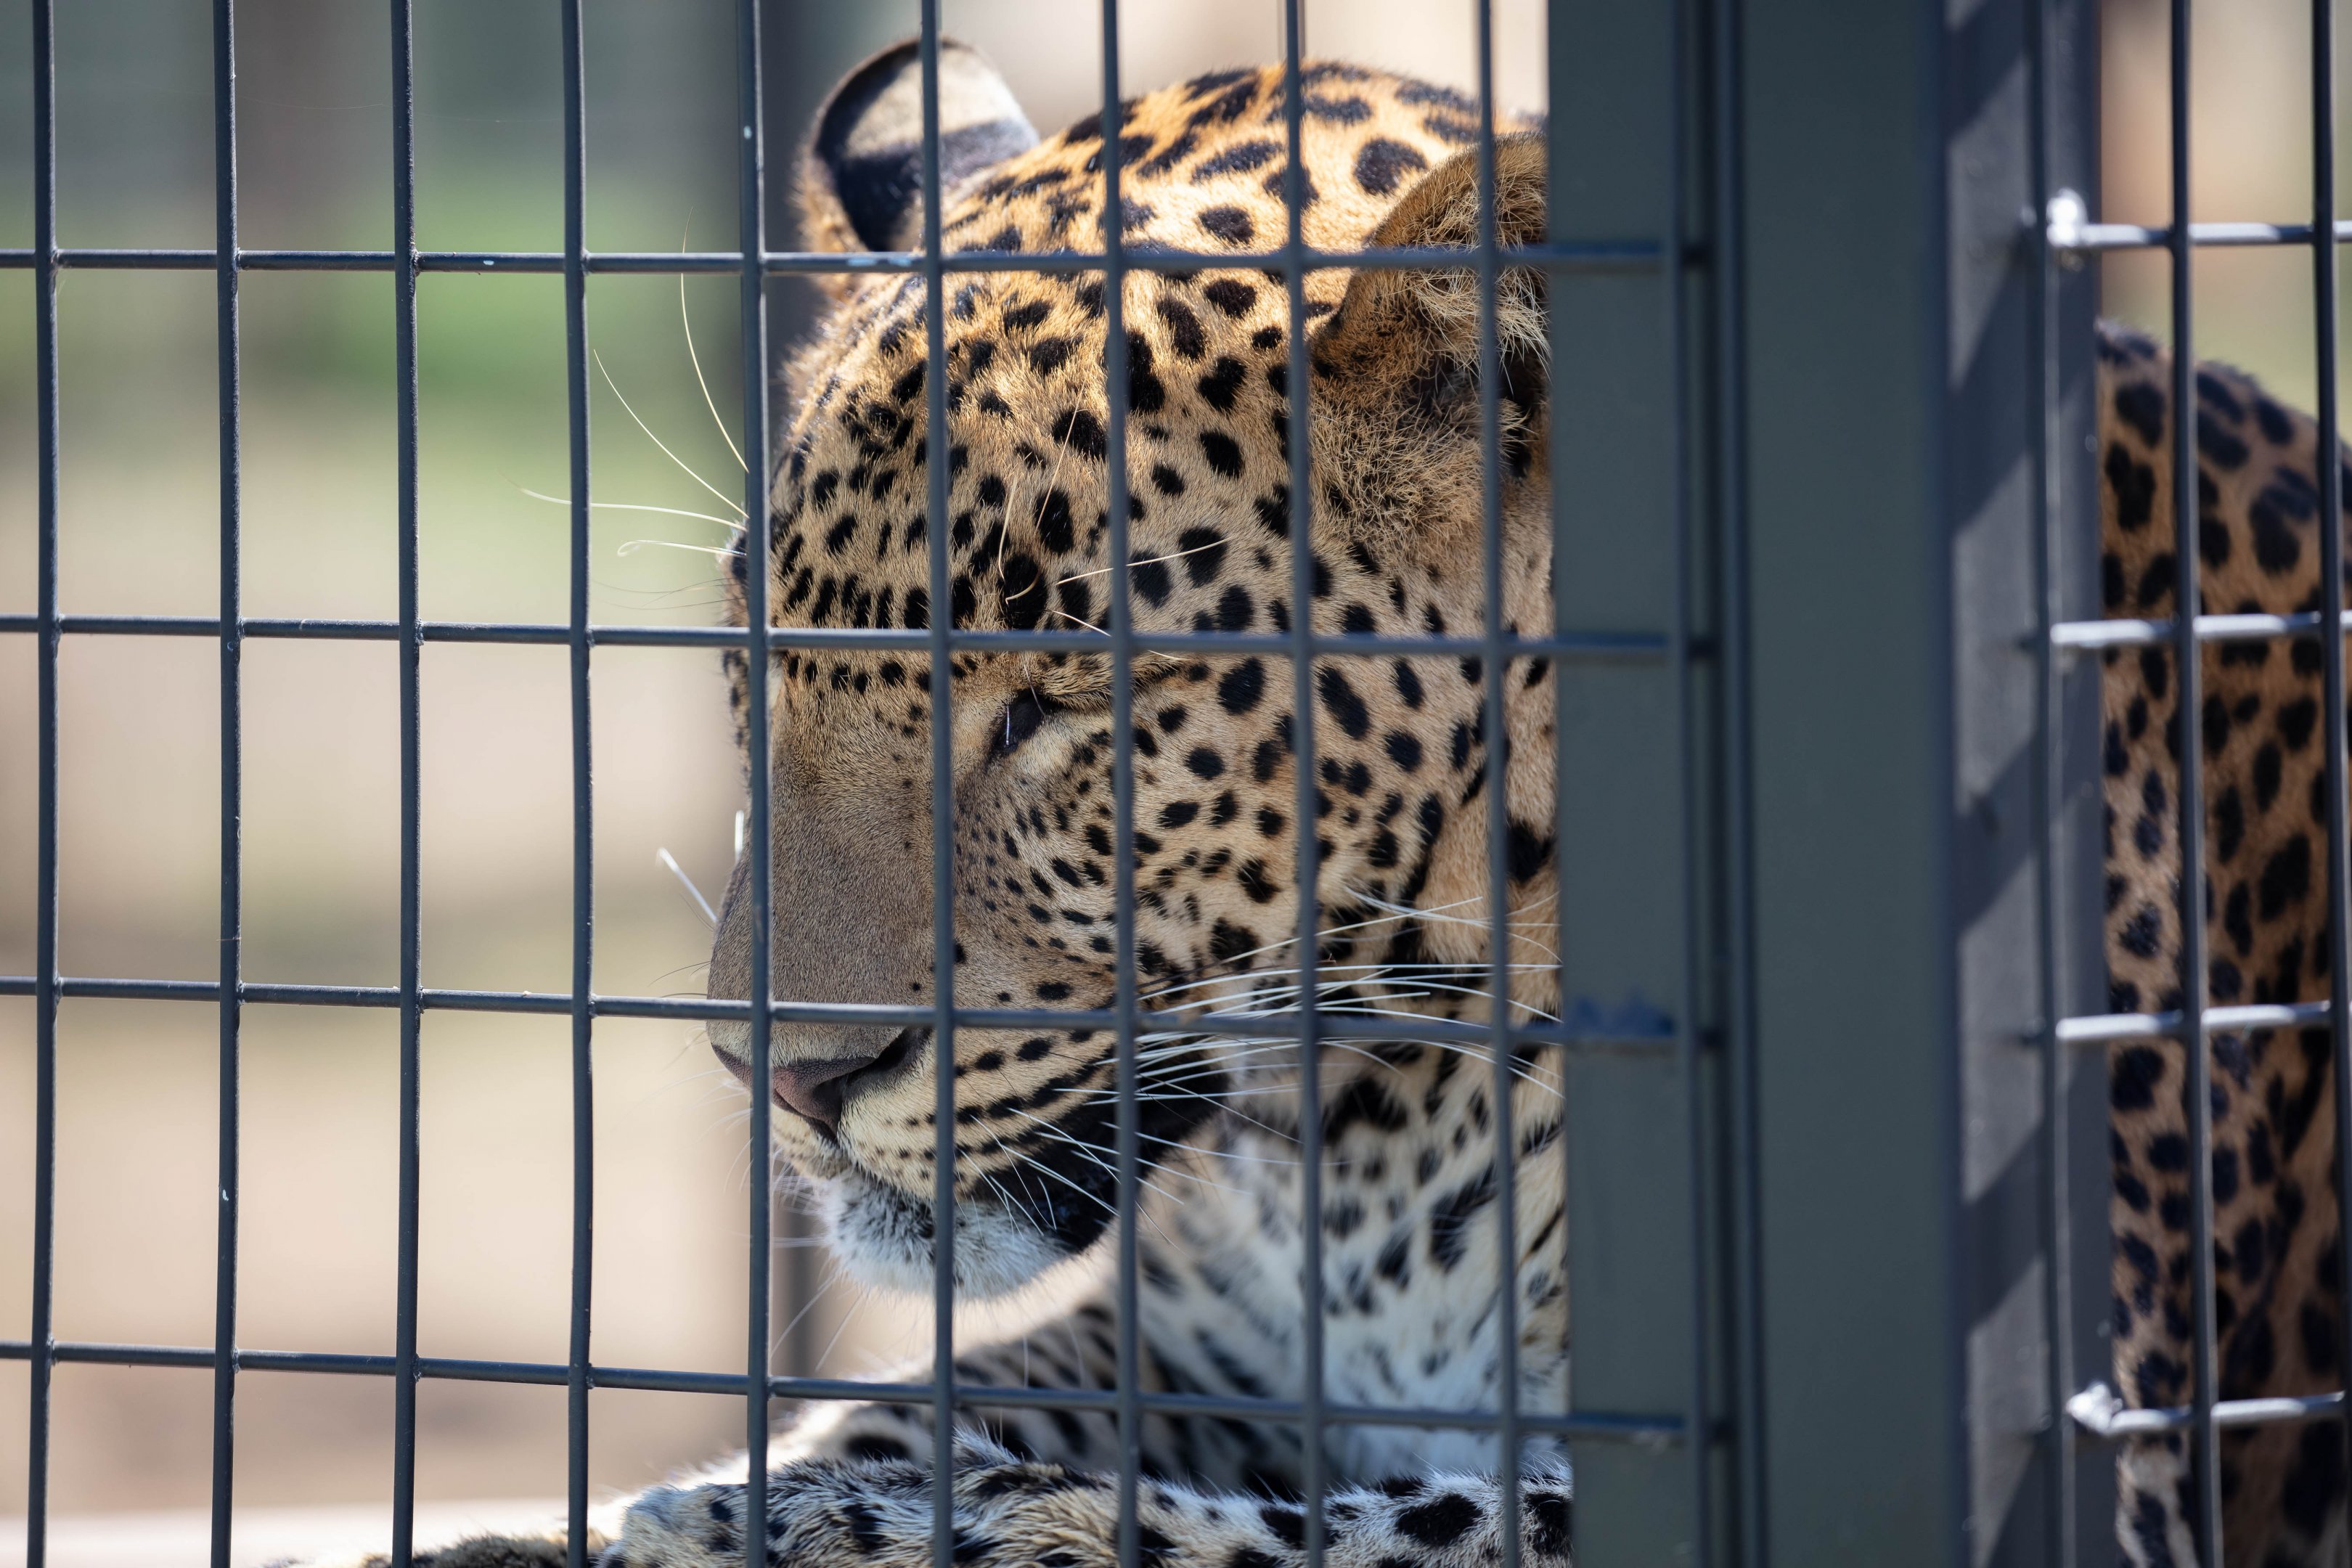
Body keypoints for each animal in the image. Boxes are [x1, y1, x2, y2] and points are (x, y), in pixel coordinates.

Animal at [293, 40, 2352, 1568]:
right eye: (751, 641)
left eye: (1060, 692)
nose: (787, 1075)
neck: (1357, 1137)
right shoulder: (1184, 1329)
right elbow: (913, 1399)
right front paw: (668, 1510)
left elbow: (1415, 1520)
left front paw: (933, 1529)